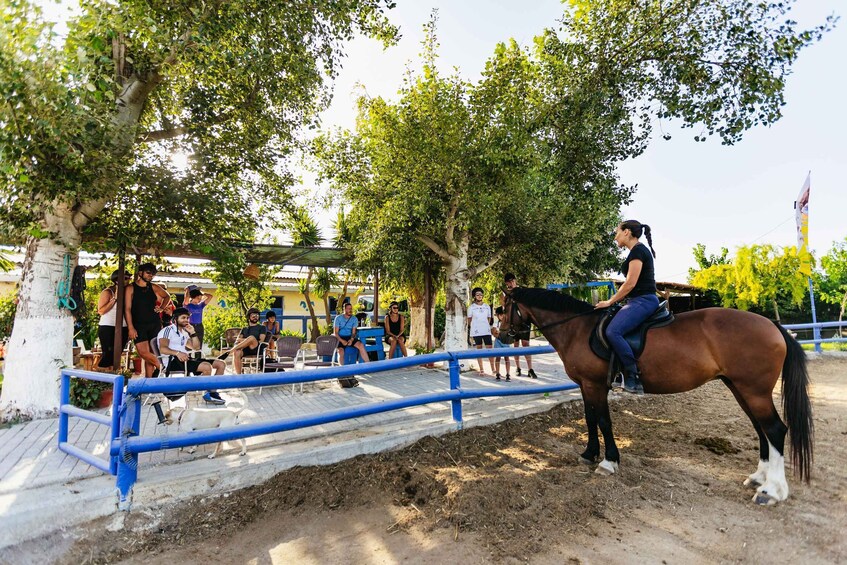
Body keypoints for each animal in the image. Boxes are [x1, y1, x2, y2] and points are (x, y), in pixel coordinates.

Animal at [504, 288, 816, 504]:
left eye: (505, 307)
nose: (502, 333)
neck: (579, 328)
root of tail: (772, 325)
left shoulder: (594, 385)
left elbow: (603, 422)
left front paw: (608, 462)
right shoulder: (585, 386)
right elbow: (590, 420)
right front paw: (589, 454)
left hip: (754, 391)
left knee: (775, 429)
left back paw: (771, 491)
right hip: (740, 389)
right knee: (761, 429)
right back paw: (759, 478)